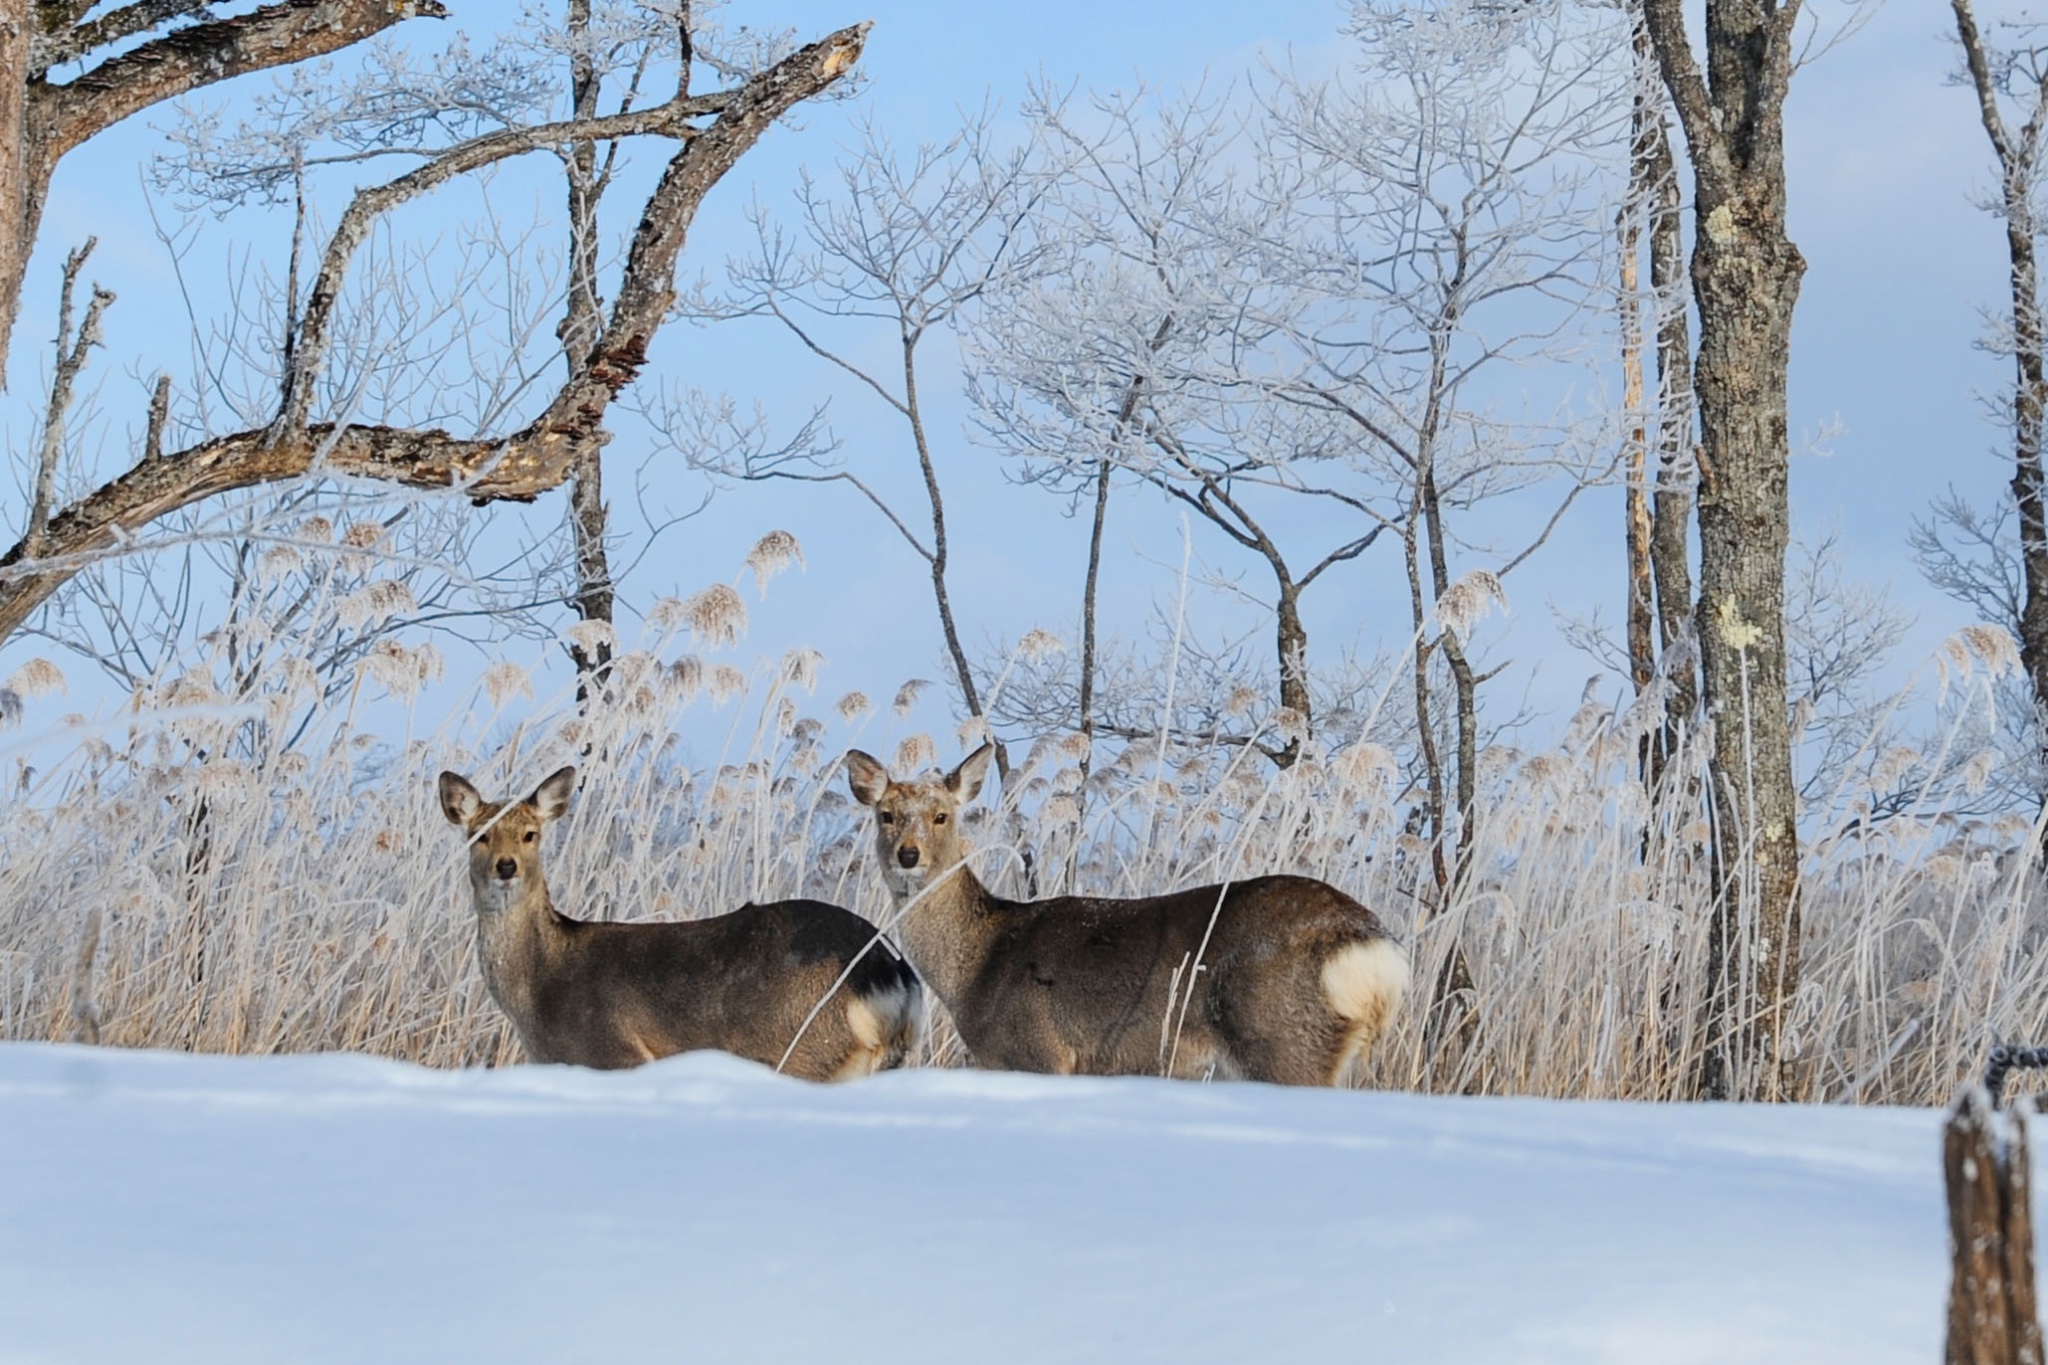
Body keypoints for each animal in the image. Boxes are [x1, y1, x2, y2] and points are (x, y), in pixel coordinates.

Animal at [440, 769, 921, 1080]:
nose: (506, 866)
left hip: (805, 1049)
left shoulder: (614, 1053)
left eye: (530, 834)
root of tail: (891, 973)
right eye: (479, 834)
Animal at [843, 749, 1409, 1088]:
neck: (977, 967)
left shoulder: (1040, 1053)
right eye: (885, 815)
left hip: (1283, 1038)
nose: (909, 855)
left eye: (941, 816)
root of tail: (1372, 947)